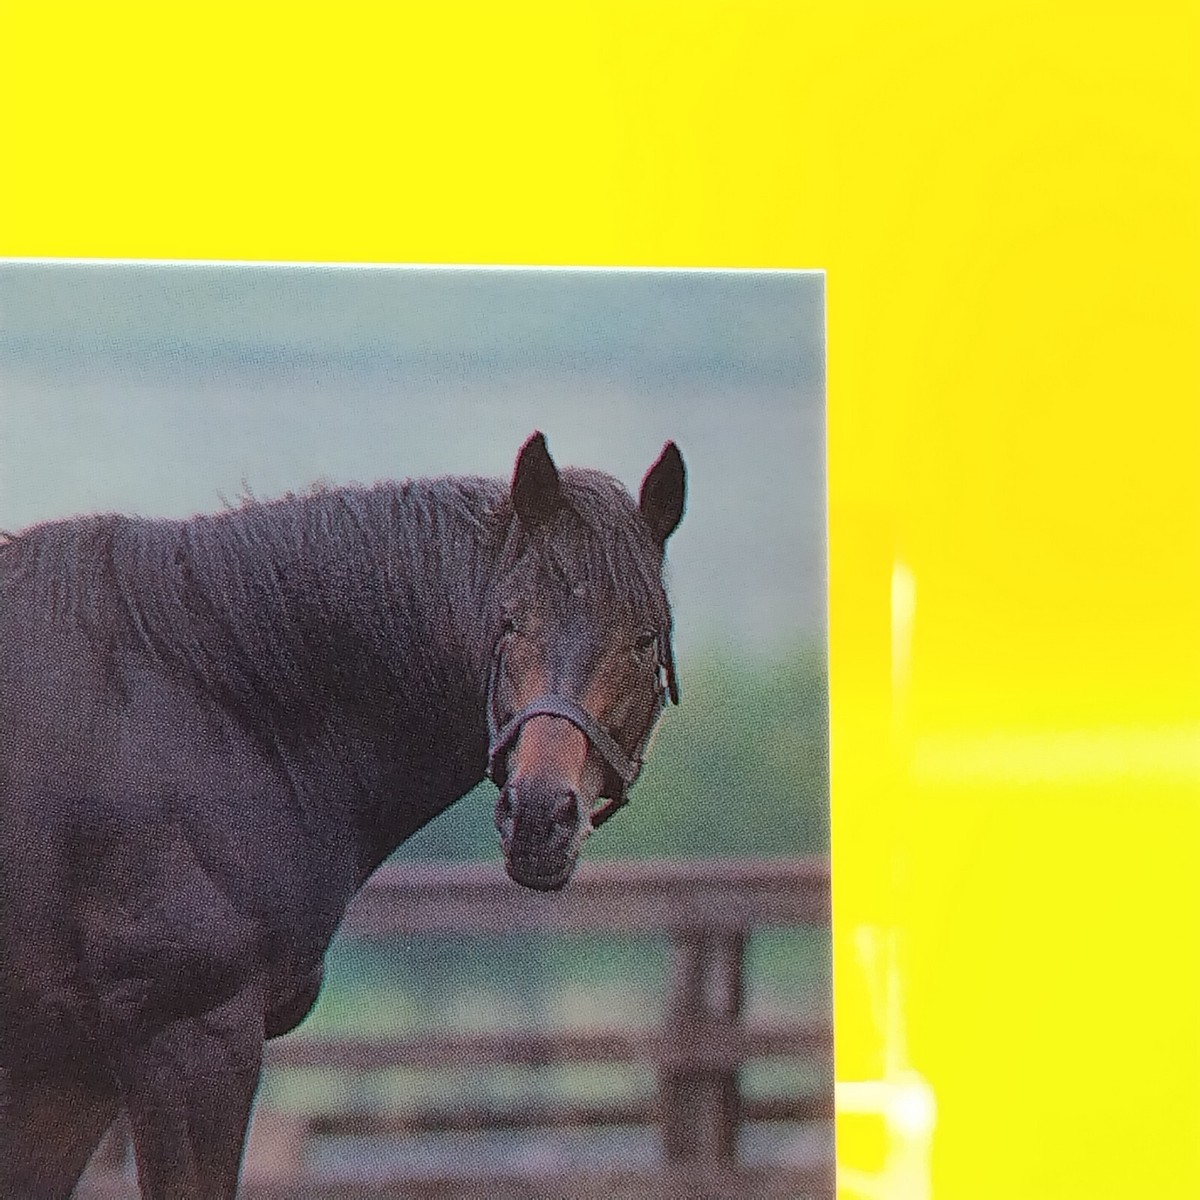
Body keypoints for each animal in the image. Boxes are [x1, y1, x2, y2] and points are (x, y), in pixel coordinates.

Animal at [0, 431, 685, 1199]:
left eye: (645, 638)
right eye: (510, 623)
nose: (540, 816)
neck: (214, 706)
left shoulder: (66, 1072)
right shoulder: (191, 1041)